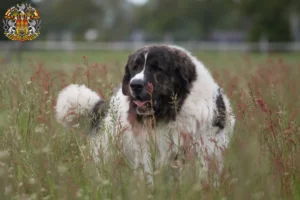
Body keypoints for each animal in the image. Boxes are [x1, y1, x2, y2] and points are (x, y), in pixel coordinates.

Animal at [55, 45, 234, 180]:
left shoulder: (206, 151)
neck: (173, 113)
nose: (135, 85)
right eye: (135, 67)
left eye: (157, 68)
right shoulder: (148, 154)